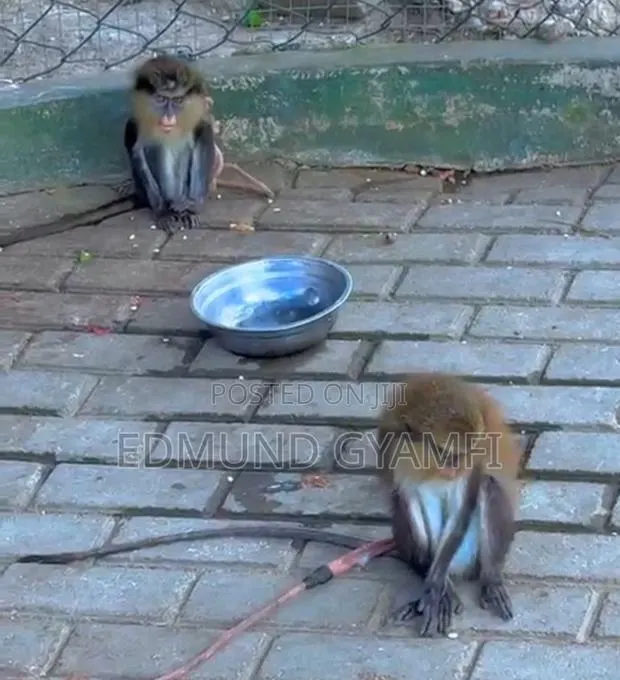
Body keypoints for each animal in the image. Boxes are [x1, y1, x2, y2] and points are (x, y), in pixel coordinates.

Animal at [375, 372, 522, 637]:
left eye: (464, 455)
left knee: (488, 485)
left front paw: (436, 586)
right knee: (399, 502)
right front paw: (440, 589)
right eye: (447, 453)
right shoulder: (393, 451)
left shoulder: (474, 460)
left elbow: (463, 508)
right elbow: (411, 497)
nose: (457, 468)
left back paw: (491, 579)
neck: (425, 463)